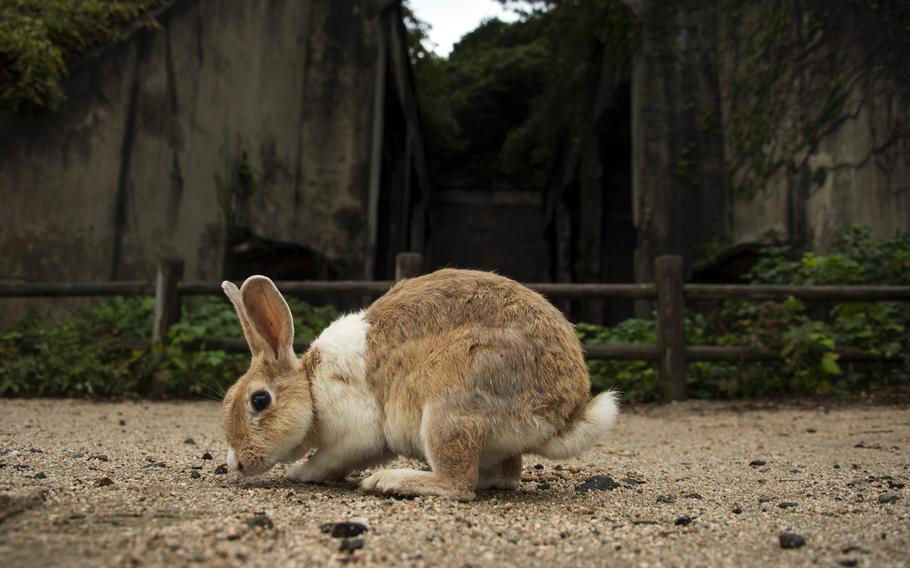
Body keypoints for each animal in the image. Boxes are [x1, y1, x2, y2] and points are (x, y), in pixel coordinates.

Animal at [221, 268, 620, 500]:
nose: (235, 464)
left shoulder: (354, 435)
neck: (311, 387)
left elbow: (327, 460)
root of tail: (563, 411)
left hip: (448, 410)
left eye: (259, 400)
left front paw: (299, 472)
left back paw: (390, 481)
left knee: (459, 487)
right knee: (502, 477)